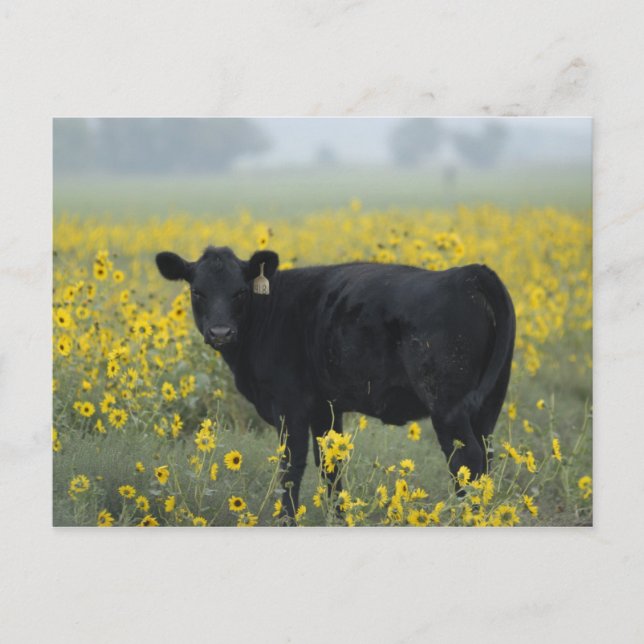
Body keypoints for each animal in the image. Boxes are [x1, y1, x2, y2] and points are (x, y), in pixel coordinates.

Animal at [156, 246, 515, 519]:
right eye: (197, 291)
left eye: (240, 291)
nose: (220, 332)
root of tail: (468, 273)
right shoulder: (325, 408)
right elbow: (331, 466)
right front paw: (339, 518)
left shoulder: (289, 405)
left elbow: (291, 467)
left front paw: (287, 520)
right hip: (488, 404)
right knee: (485, 459)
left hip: (447, 406)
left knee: (467, 462)